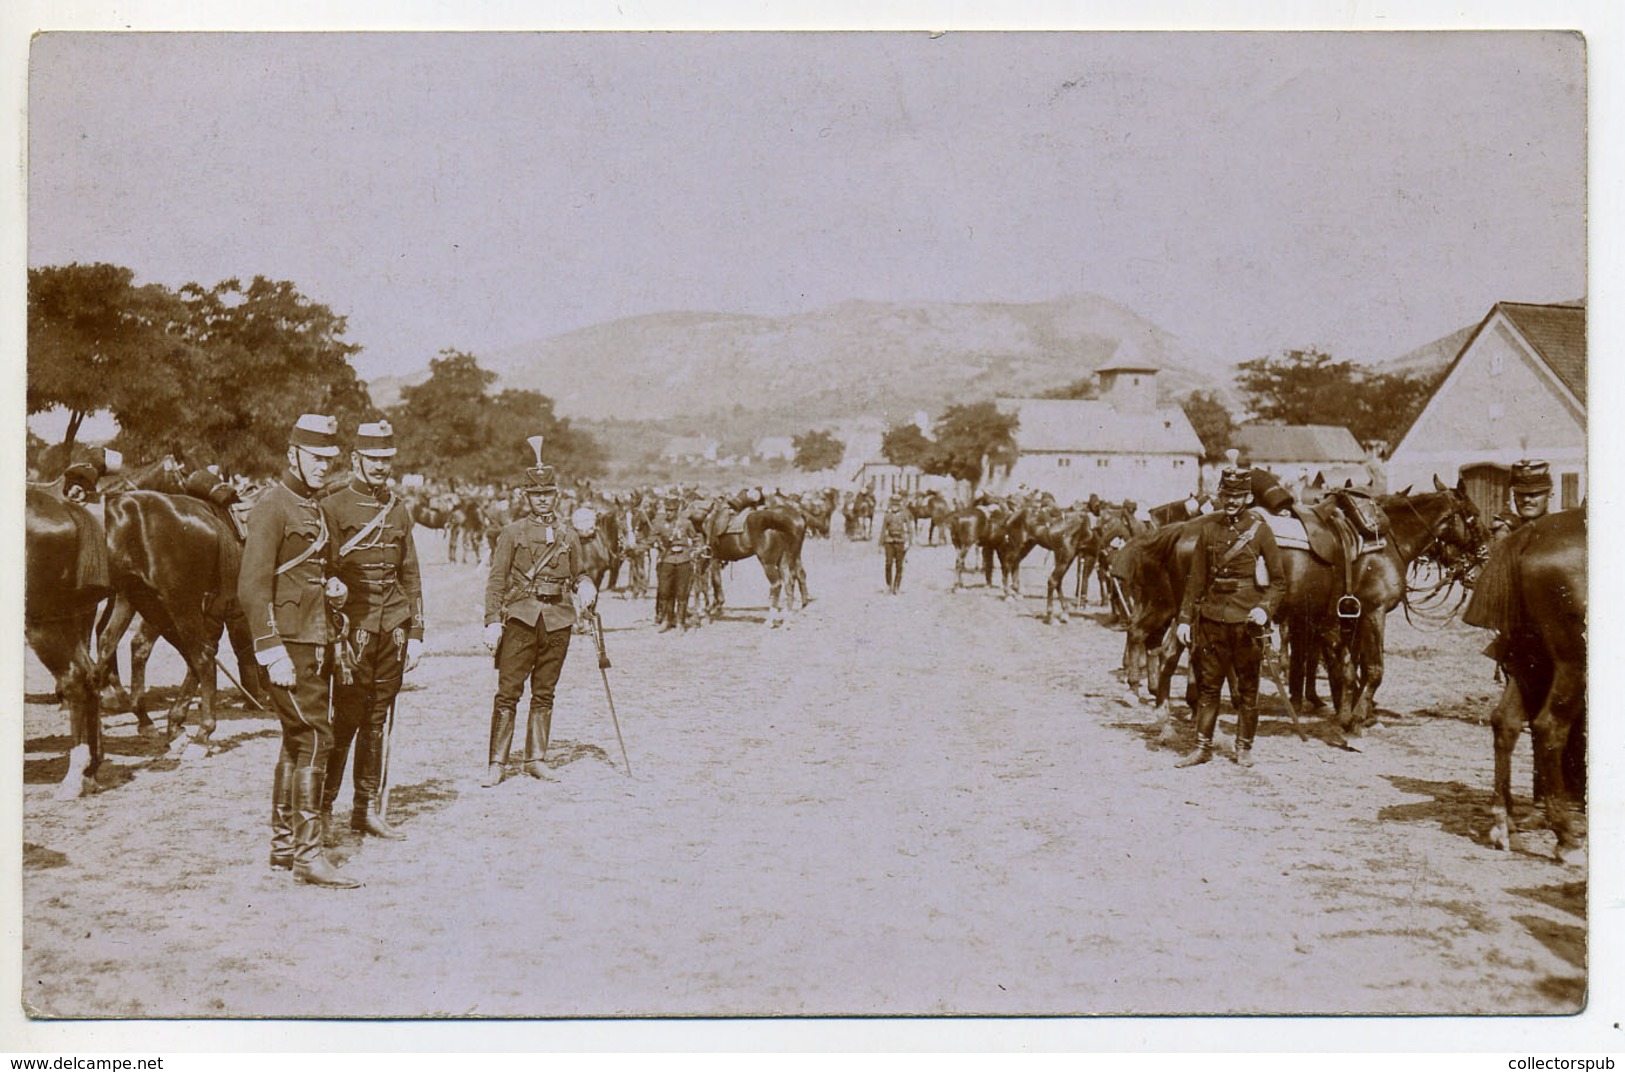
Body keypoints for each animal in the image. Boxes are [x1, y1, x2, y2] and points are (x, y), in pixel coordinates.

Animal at [25, 487, 113, 795]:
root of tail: (66, 507)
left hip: (43, 622)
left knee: (75, 680)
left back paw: (75, 778)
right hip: (68, 620)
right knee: (89, 676)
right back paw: (88, 772)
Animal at [1462, 506, 1586, 864]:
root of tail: (1531, 533)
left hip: (1532, 661)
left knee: (1505, 721)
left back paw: (1503, 824)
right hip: (1572, 663)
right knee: (1549, 728)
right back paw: (1566, 838)